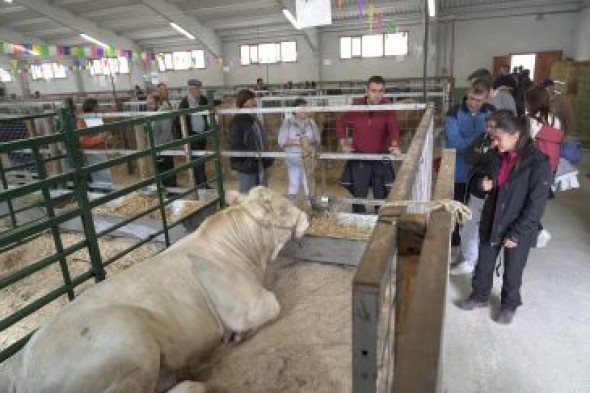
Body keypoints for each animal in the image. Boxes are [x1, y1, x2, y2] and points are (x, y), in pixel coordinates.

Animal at [1, 186, 310, 392]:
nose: (306, 218)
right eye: (283, 209)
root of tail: (22, 370)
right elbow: (273, 305)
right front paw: (236, 335)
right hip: (133, 347)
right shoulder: (247, 306)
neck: (249, 256)